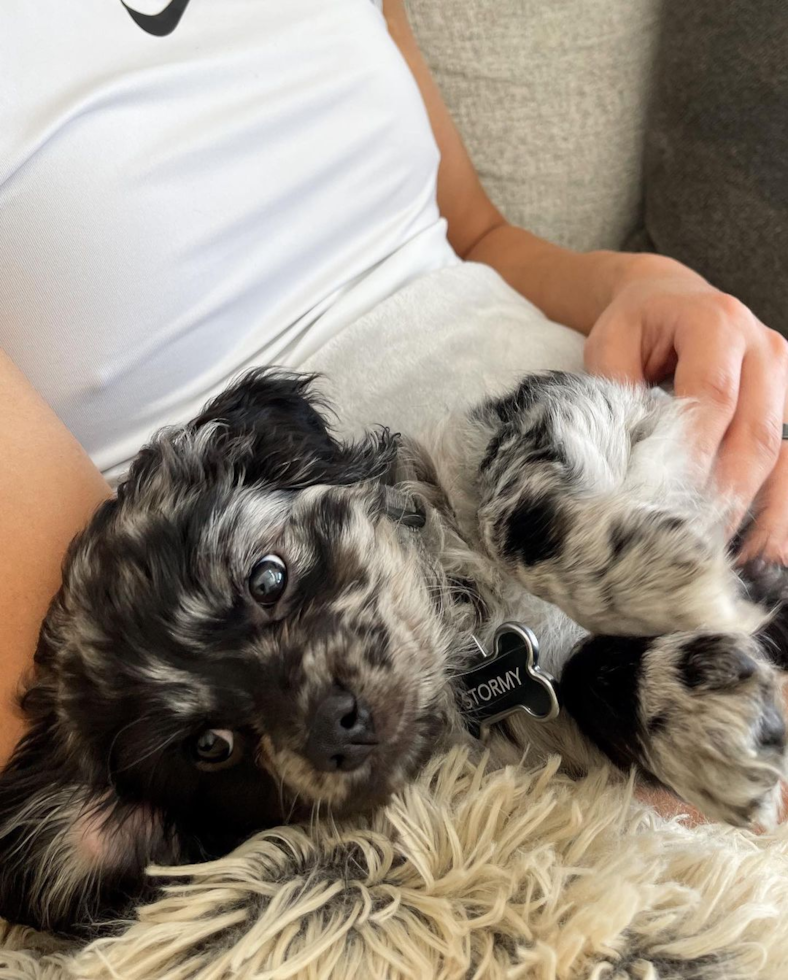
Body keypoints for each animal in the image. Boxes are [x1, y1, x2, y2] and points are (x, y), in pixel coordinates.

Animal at [1, 370, 788, 936]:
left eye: (267, 578)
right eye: (210, 747)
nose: (335, 726)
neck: (473, 638)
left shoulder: (564, 415)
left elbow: (513, 516)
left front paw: (658, 578)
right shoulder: (553, 730)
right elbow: (588, 679)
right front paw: (706, 725)